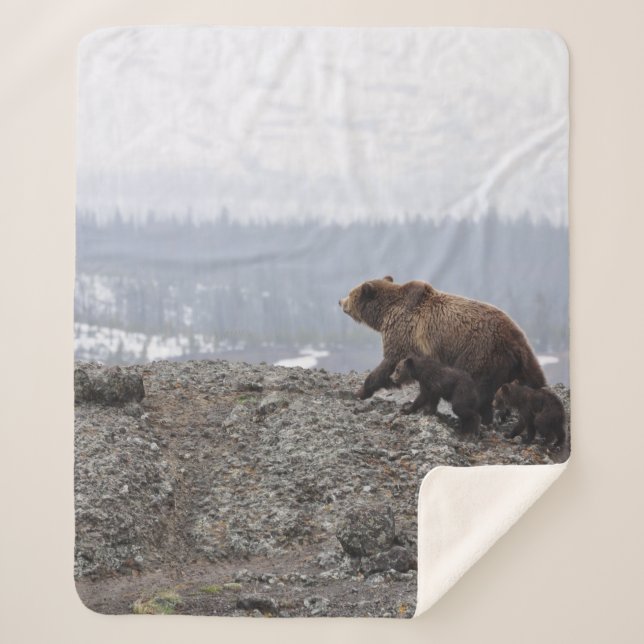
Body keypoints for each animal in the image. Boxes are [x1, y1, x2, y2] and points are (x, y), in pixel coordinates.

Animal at [338, 276, 545, 424]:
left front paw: (360, 391)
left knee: (477, 388)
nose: (340, 301)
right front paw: (429, 408)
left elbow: (389, 363)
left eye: (351, 293)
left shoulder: (403, 334)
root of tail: (517, 340)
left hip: (480, 353)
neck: (384, 314)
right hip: (514, 364)